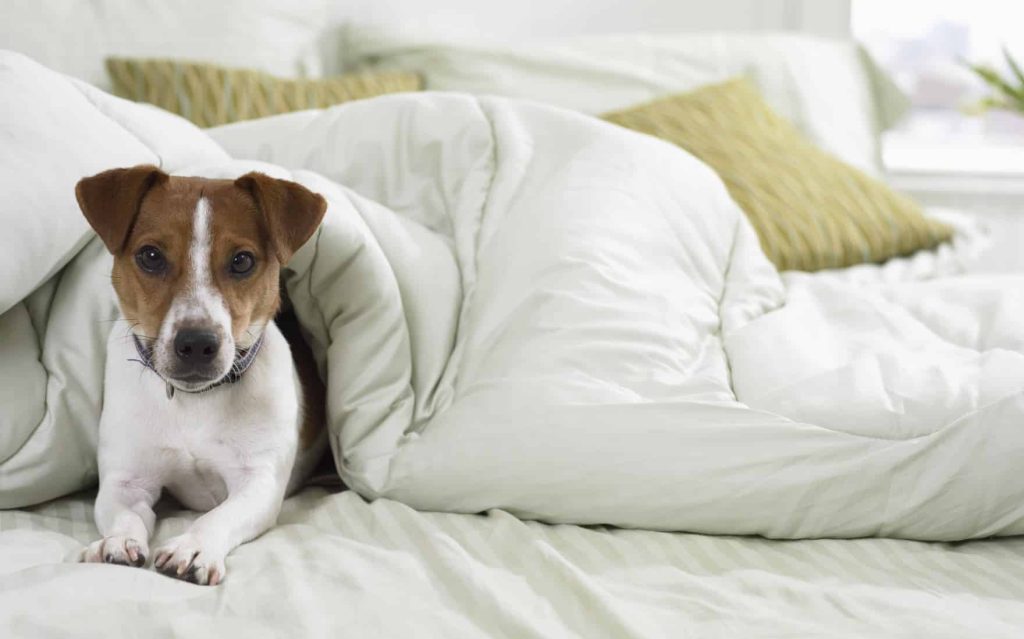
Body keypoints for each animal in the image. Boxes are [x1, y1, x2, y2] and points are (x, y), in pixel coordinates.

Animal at [74, 164, 327, 585]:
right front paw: (116, 541)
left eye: (242, 261)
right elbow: (124, 513)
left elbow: (217, 516)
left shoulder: (257, 481)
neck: (195, 401)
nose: (196, 343)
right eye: (151, 256)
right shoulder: (126, 479)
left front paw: (192, 547)